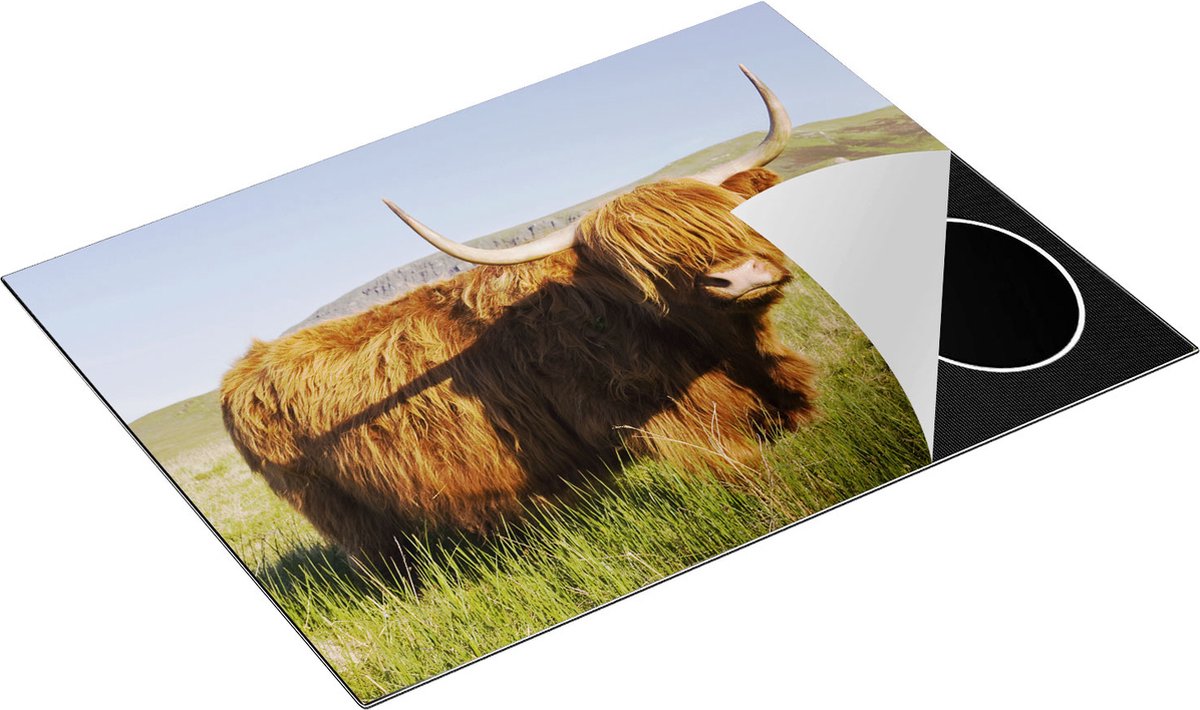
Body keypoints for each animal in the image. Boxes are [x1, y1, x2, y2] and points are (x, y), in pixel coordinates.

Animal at [220, 66, 816, 572]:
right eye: (637, 263)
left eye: (720, 215)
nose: (738, 278)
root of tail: (242, 369)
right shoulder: (675, 420)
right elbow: (747, 474)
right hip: (341, 514)